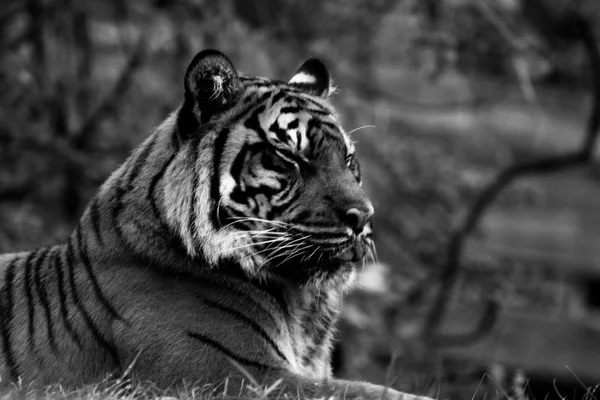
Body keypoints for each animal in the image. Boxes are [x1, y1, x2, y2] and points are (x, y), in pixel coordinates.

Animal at [0, 50, 432, 400]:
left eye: (348, 161)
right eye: (289, 158)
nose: (365, 216)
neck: (301, 304)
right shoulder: (233, 374)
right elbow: (377, 393)